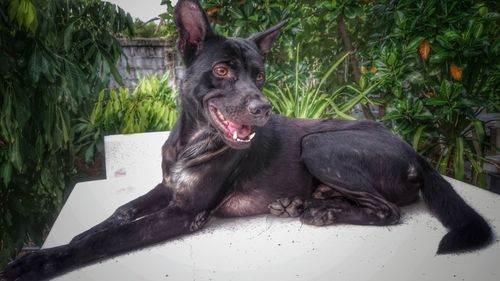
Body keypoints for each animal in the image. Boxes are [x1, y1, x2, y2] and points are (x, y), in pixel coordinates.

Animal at [0, 1, 492, 278]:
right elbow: (116, 217)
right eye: (222, 70)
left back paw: (322, 211)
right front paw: (62, 240)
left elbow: (110, 238)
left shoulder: (185, 213)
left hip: (320, 143)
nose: (264, 108)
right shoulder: (167, 187)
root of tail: (415, 153)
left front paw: (41, 261)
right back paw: (303, 204)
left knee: (388, 211)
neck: (193, 141)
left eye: (260, 76)